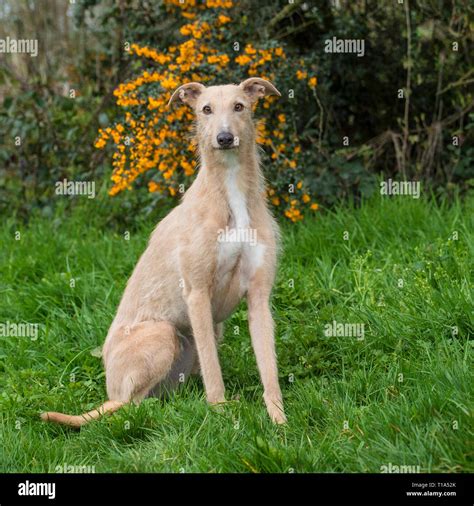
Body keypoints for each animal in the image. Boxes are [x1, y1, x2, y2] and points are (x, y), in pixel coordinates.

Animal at [41, 78, 286, 426]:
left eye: (239, 106)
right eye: (206, 109)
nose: (224, 138)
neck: (230, 192)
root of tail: (111, 389)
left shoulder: (259, 295)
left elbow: (269, 368)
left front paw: (280, 422)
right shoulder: (197, 292)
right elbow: (214, 372)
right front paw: (222, 413)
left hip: (202, 337)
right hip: (162, 333)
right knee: (129, 404)